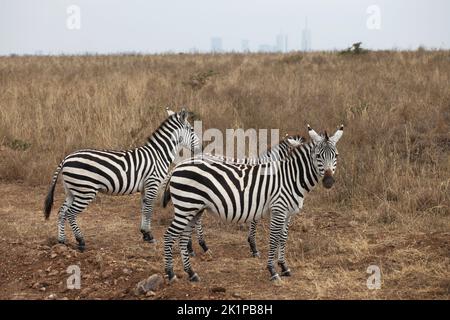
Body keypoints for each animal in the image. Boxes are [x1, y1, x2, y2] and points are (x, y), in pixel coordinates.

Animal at [43, 106, 201, 251]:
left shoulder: (145, 187)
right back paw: (81, 241)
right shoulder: (152, 183)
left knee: (61, 212)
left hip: (71, 191)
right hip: (85, 191)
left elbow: (144, 208)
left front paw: (144, 233)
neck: (159, 154)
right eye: (192, 129)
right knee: (70, 214)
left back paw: (61, 240)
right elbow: (149, 209)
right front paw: (149, 235)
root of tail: (66, 158)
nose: (201, 147)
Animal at [161, 124, 342, 282]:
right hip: (186, 206)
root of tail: (179, 165)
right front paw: (272, 270)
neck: (290, 177)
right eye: (318, 156)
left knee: (183, 237)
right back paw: (171, 273)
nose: (328, 181)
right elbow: (273, 238)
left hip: (194, 208)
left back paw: (191, 272)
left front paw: (284, 267)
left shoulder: (287, 213)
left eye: (336, 156)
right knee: (170, 235)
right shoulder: (277, 209)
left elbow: (283, 238)